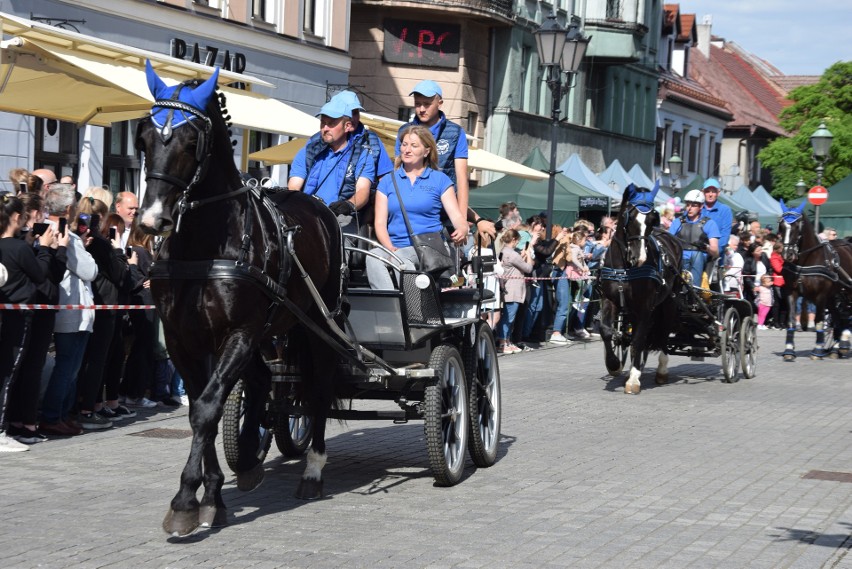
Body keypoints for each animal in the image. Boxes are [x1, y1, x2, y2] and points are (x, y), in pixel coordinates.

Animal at [136, 63, 342, 536]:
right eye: (144, 137)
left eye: (191, 142)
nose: (152, 220)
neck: (206, 247)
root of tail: (322, 208)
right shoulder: (184, 340)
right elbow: (201, 407)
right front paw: (211, 495)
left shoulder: (238, 334)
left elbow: (206, 409)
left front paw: (185, 499)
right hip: (270, 332)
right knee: (265, 383)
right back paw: (249, 458)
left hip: (316, 325)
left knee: (320, 387)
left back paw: (313, 470)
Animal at [600, 184, 684, 392]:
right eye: (629, 217)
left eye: (652, 220)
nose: (640, 257)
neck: (625, 268)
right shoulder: (609, 300)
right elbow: (606, 331)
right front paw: (614, 364)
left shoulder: (645, 306)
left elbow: (638, 340)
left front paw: (633, 379)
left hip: (668, 303)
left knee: (662, 333)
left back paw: (660, 371)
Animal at [780, 200, 852, 360]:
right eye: (781, 225)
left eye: (796, 226)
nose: (787, 254)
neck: (805, 262)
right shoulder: (791, 292)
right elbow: (791, 320)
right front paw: (789, 350)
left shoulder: (820, 296)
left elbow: (819, 321)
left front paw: (817, 350)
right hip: (834, 295)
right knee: (838, 318)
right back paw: (836, 347)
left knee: (847, 315)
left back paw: (843, 341)